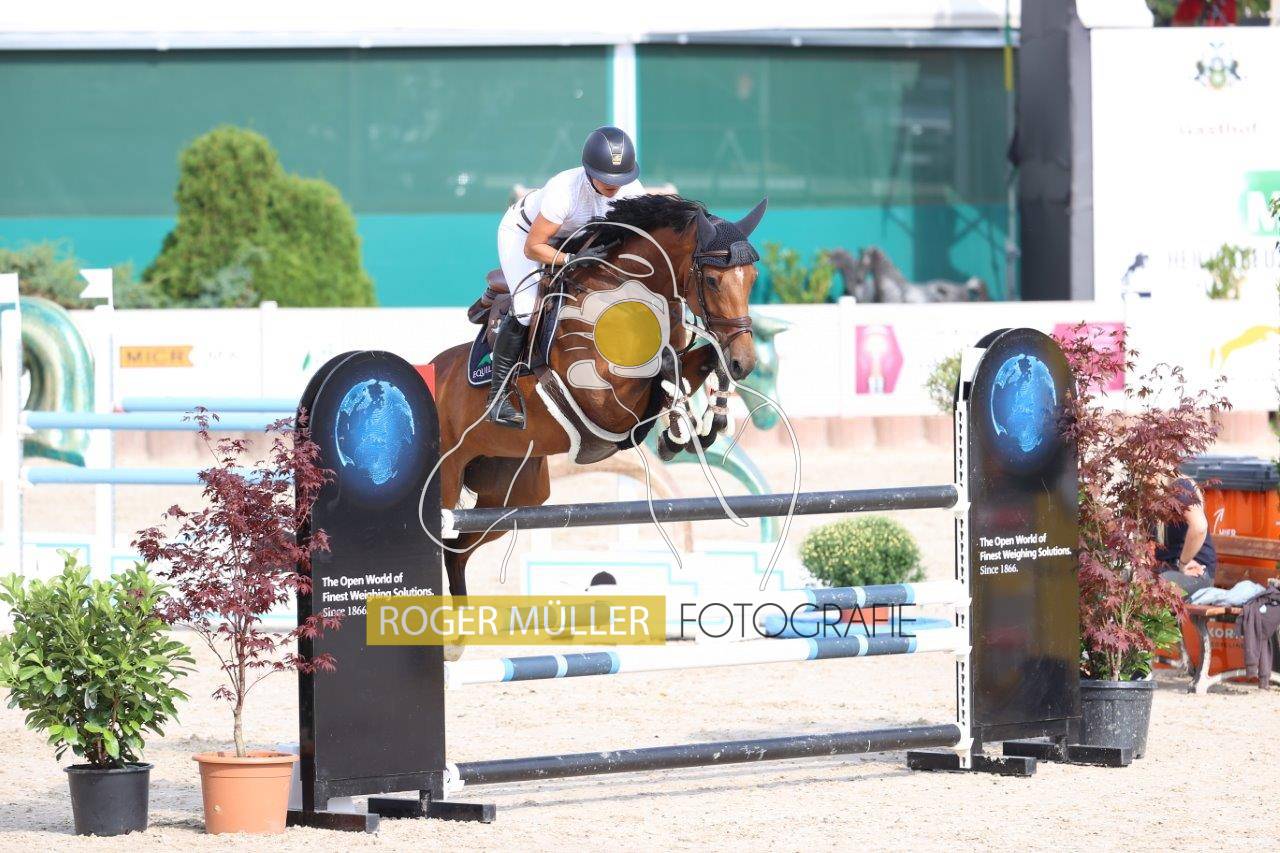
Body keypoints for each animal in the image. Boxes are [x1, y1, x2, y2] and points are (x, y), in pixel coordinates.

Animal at [428, 194, 766, 597]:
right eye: (713, 280)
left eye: (753, 279)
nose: (745, 362)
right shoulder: (602, 399)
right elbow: (665, 367)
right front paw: (676, 432)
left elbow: (699, 361)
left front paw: (707, 423)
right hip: (447, 481)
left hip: (512, 492)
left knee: (457, 551)